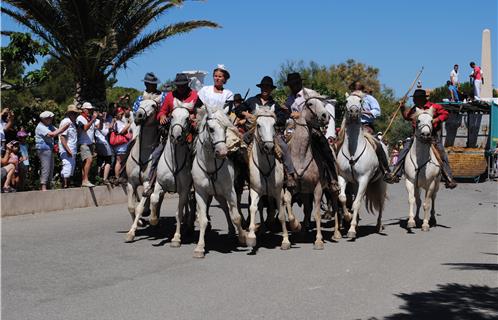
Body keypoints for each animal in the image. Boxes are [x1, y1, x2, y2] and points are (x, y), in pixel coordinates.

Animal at [124, 99, 160, 241]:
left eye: (153, 105)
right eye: (140, 102)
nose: (139, 115)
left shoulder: (147, 182)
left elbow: (139, 207)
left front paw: (131, 232)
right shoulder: (131, 183)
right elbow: (131, 207)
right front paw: (138, 223)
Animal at [148, 99, 195, 246]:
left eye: (187, 118)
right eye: (171, 116)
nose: (176, 136)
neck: (173, 161)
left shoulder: (184, 190)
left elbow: (178, 212)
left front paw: (176, 238)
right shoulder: (159, 184)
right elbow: (154, 198)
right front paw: (153, 220)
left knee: (189, 204)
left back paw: (189, 226)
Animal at [191, 107, 247, 258]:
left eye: (226, 128)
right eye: (211, 129)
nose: (222, 152)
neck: (210, 166)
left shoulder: (230, 191)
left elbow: (236, 216)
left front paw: (243, 238)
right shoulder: (200, 193)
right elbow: (203, 219)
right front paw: (199, 248)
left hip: (233, 189)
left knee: (233, 209)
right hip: (218, 195)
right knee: (226, 209)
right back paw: (231, 232)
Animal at [246, 105, 300, 250]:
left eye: (274, 124)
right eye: (258, 125)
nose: (269, 146)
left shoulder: (277, 191)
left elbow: (281, 214)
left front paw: (286, 240)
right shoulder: (255, 190)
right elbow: (253, 208)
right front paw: (251, 237)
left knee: (287, 201)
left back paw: (295, 223)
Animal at [336, 95, 388, 240]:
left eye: (360, 101)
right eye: (346, 101)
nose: (353, 112)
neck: (353, 151)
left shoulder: (364, 180)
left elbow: (357, 203)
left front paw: (352, 230)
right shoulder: (343, 177)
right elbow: (343, 198)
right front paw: (348, 217)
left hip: (381, 184)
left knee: (381, 203)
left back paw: (378, 225)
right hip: (354, 184)